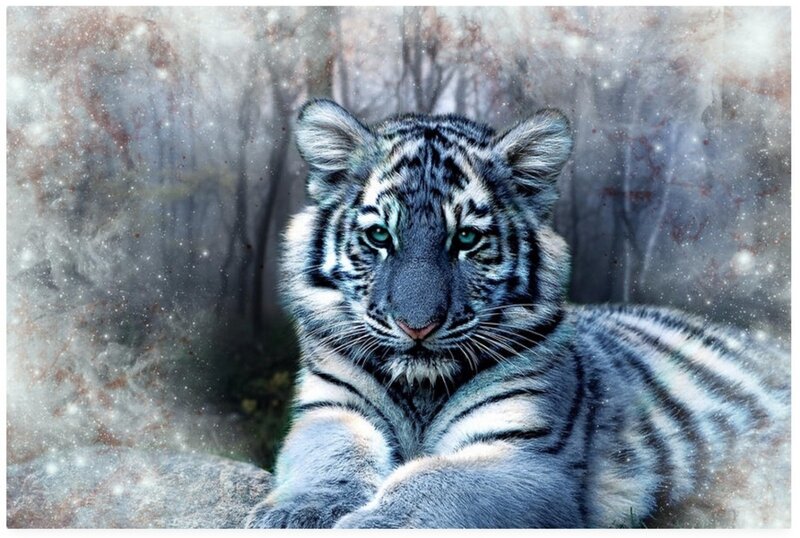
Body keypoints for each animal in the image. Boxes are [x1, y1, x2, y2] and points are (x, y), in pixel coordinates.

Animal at [245, 99, 790, 529]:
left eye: (466, 238)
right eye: (380, 236)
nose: (417, 326)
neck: (421, 388)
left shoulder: (527, 457)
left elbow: (432, 481)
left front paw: (370, 525)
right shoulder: (332, 410)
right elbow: (332, 455)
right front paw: (296, 513)